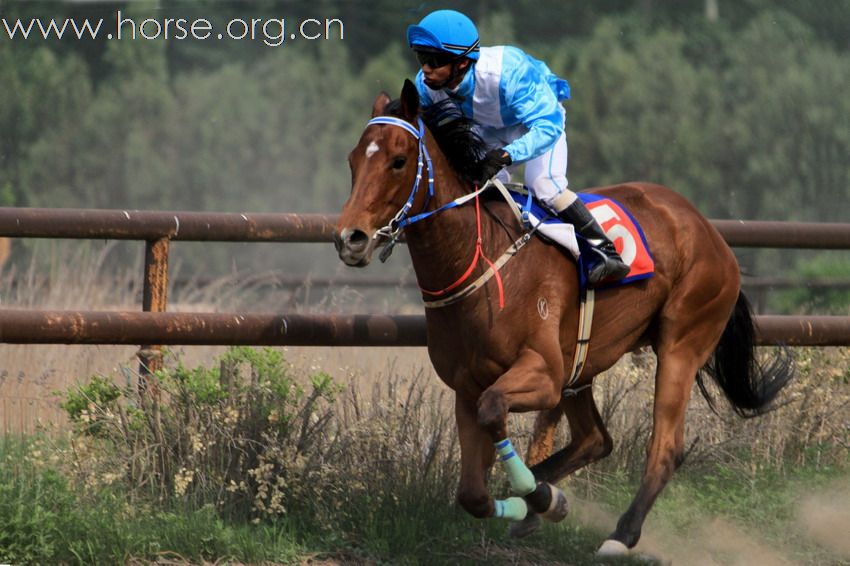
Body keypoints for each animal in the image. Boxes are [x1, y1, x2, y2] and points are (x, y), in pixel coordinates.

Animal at [330, 81, 788, 560]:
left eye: (398, 161)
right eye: (353, 160)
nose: (350, 239)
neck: (480, 259)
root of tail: (709, 230)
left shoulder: (543, 373)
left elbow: (494, 409)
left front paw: (540, 495)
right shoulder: (467, 385)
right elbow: (472, 494)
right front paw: (540, 500)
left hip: (681, 344)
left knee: (665, 447)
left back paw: (619, 535)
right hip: (581, 365)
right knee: (595, 439)